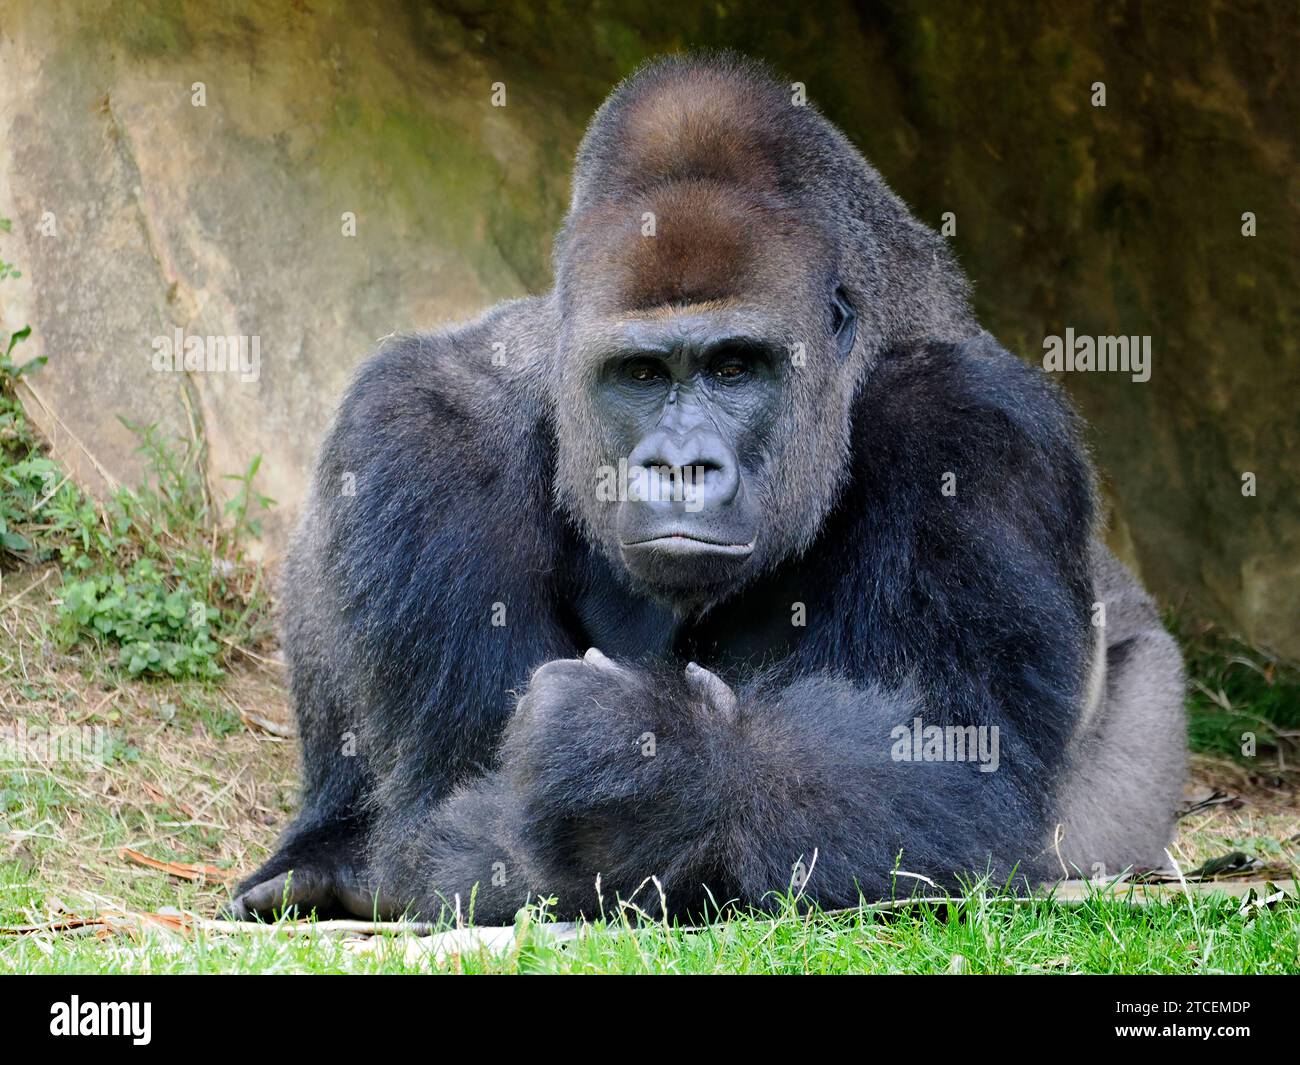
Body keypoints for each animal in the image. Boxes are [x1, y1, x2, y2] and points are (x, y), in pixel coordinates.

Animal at [226, 56, 1190, 925]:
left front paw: (640, 775)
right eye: (642, 374)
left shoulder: (977, 424)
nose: (683, 465)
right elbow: (450, 808)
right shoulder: (419, 423)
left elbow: (962, 764)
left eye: (734, 367)